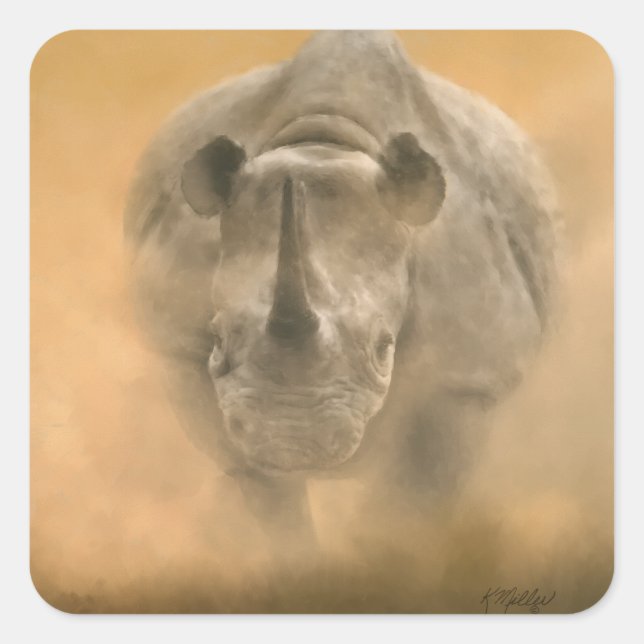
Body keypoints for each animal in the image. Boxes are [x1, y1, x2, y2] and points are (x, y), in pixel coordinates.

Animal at [124, 31, 559, 548]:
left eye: (383, 347)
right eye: (217, 338)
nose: (290, 439)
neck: (326, 143)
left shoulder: (468, 375)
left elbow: (413, 497)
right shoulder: (182, 348)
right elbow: (268, 495)